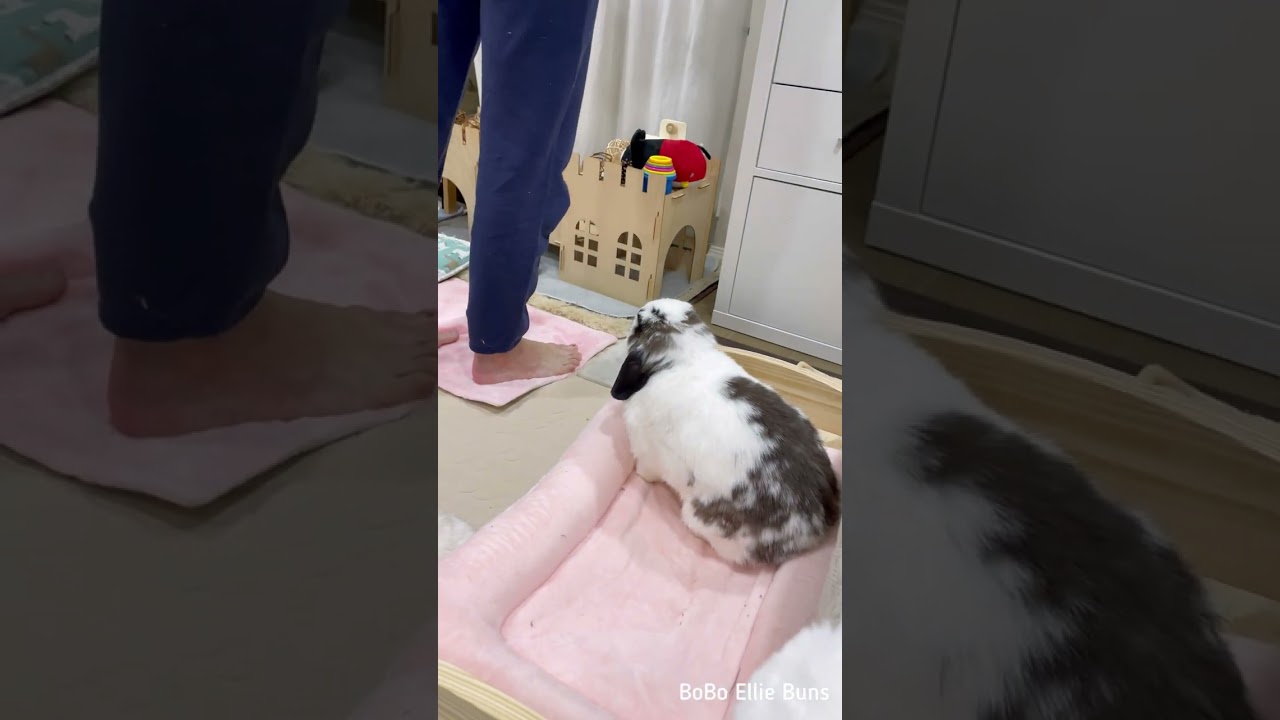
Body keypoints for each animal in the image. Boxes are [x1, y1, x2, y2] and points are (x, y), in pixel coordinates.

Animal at [609, 298, 840, 567]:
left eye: (640, 323)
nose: (640, 310)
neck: (684, 359)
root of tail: (812, 528)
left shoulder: (645, 447)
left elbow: (646, 469)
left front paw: (641, 476)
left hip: (699, 516)